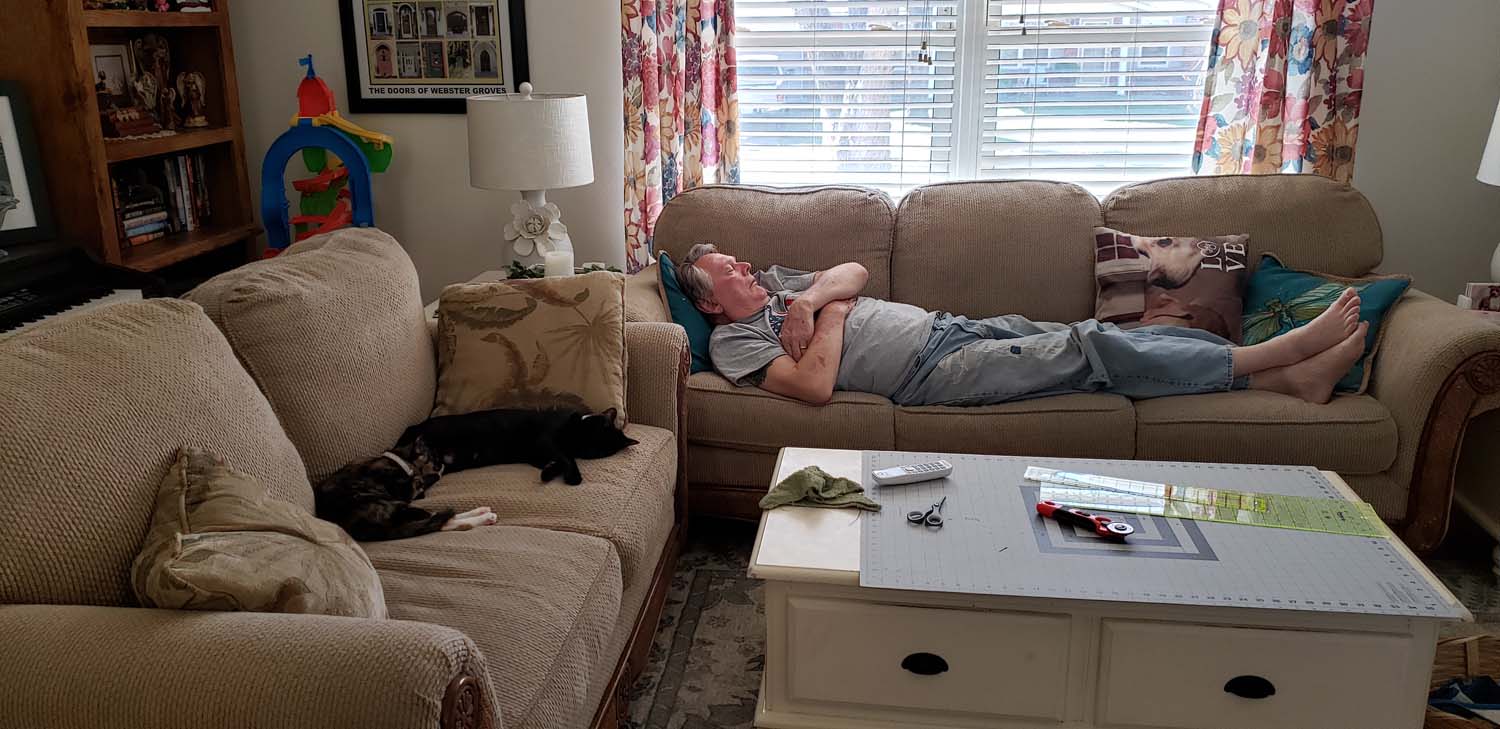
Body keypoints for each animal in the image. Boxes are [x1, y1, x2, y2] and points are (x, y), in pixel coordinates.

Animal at [397, 406, 638, 486]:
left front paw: (548, 473)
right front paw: (574, 478)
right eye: (597, 437)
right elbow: (566, 458)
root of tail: (417, 424)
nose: (588, 452)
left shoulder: (539, 455)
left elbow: (558, 461)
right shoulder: (547, 440)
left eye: (601, 452)